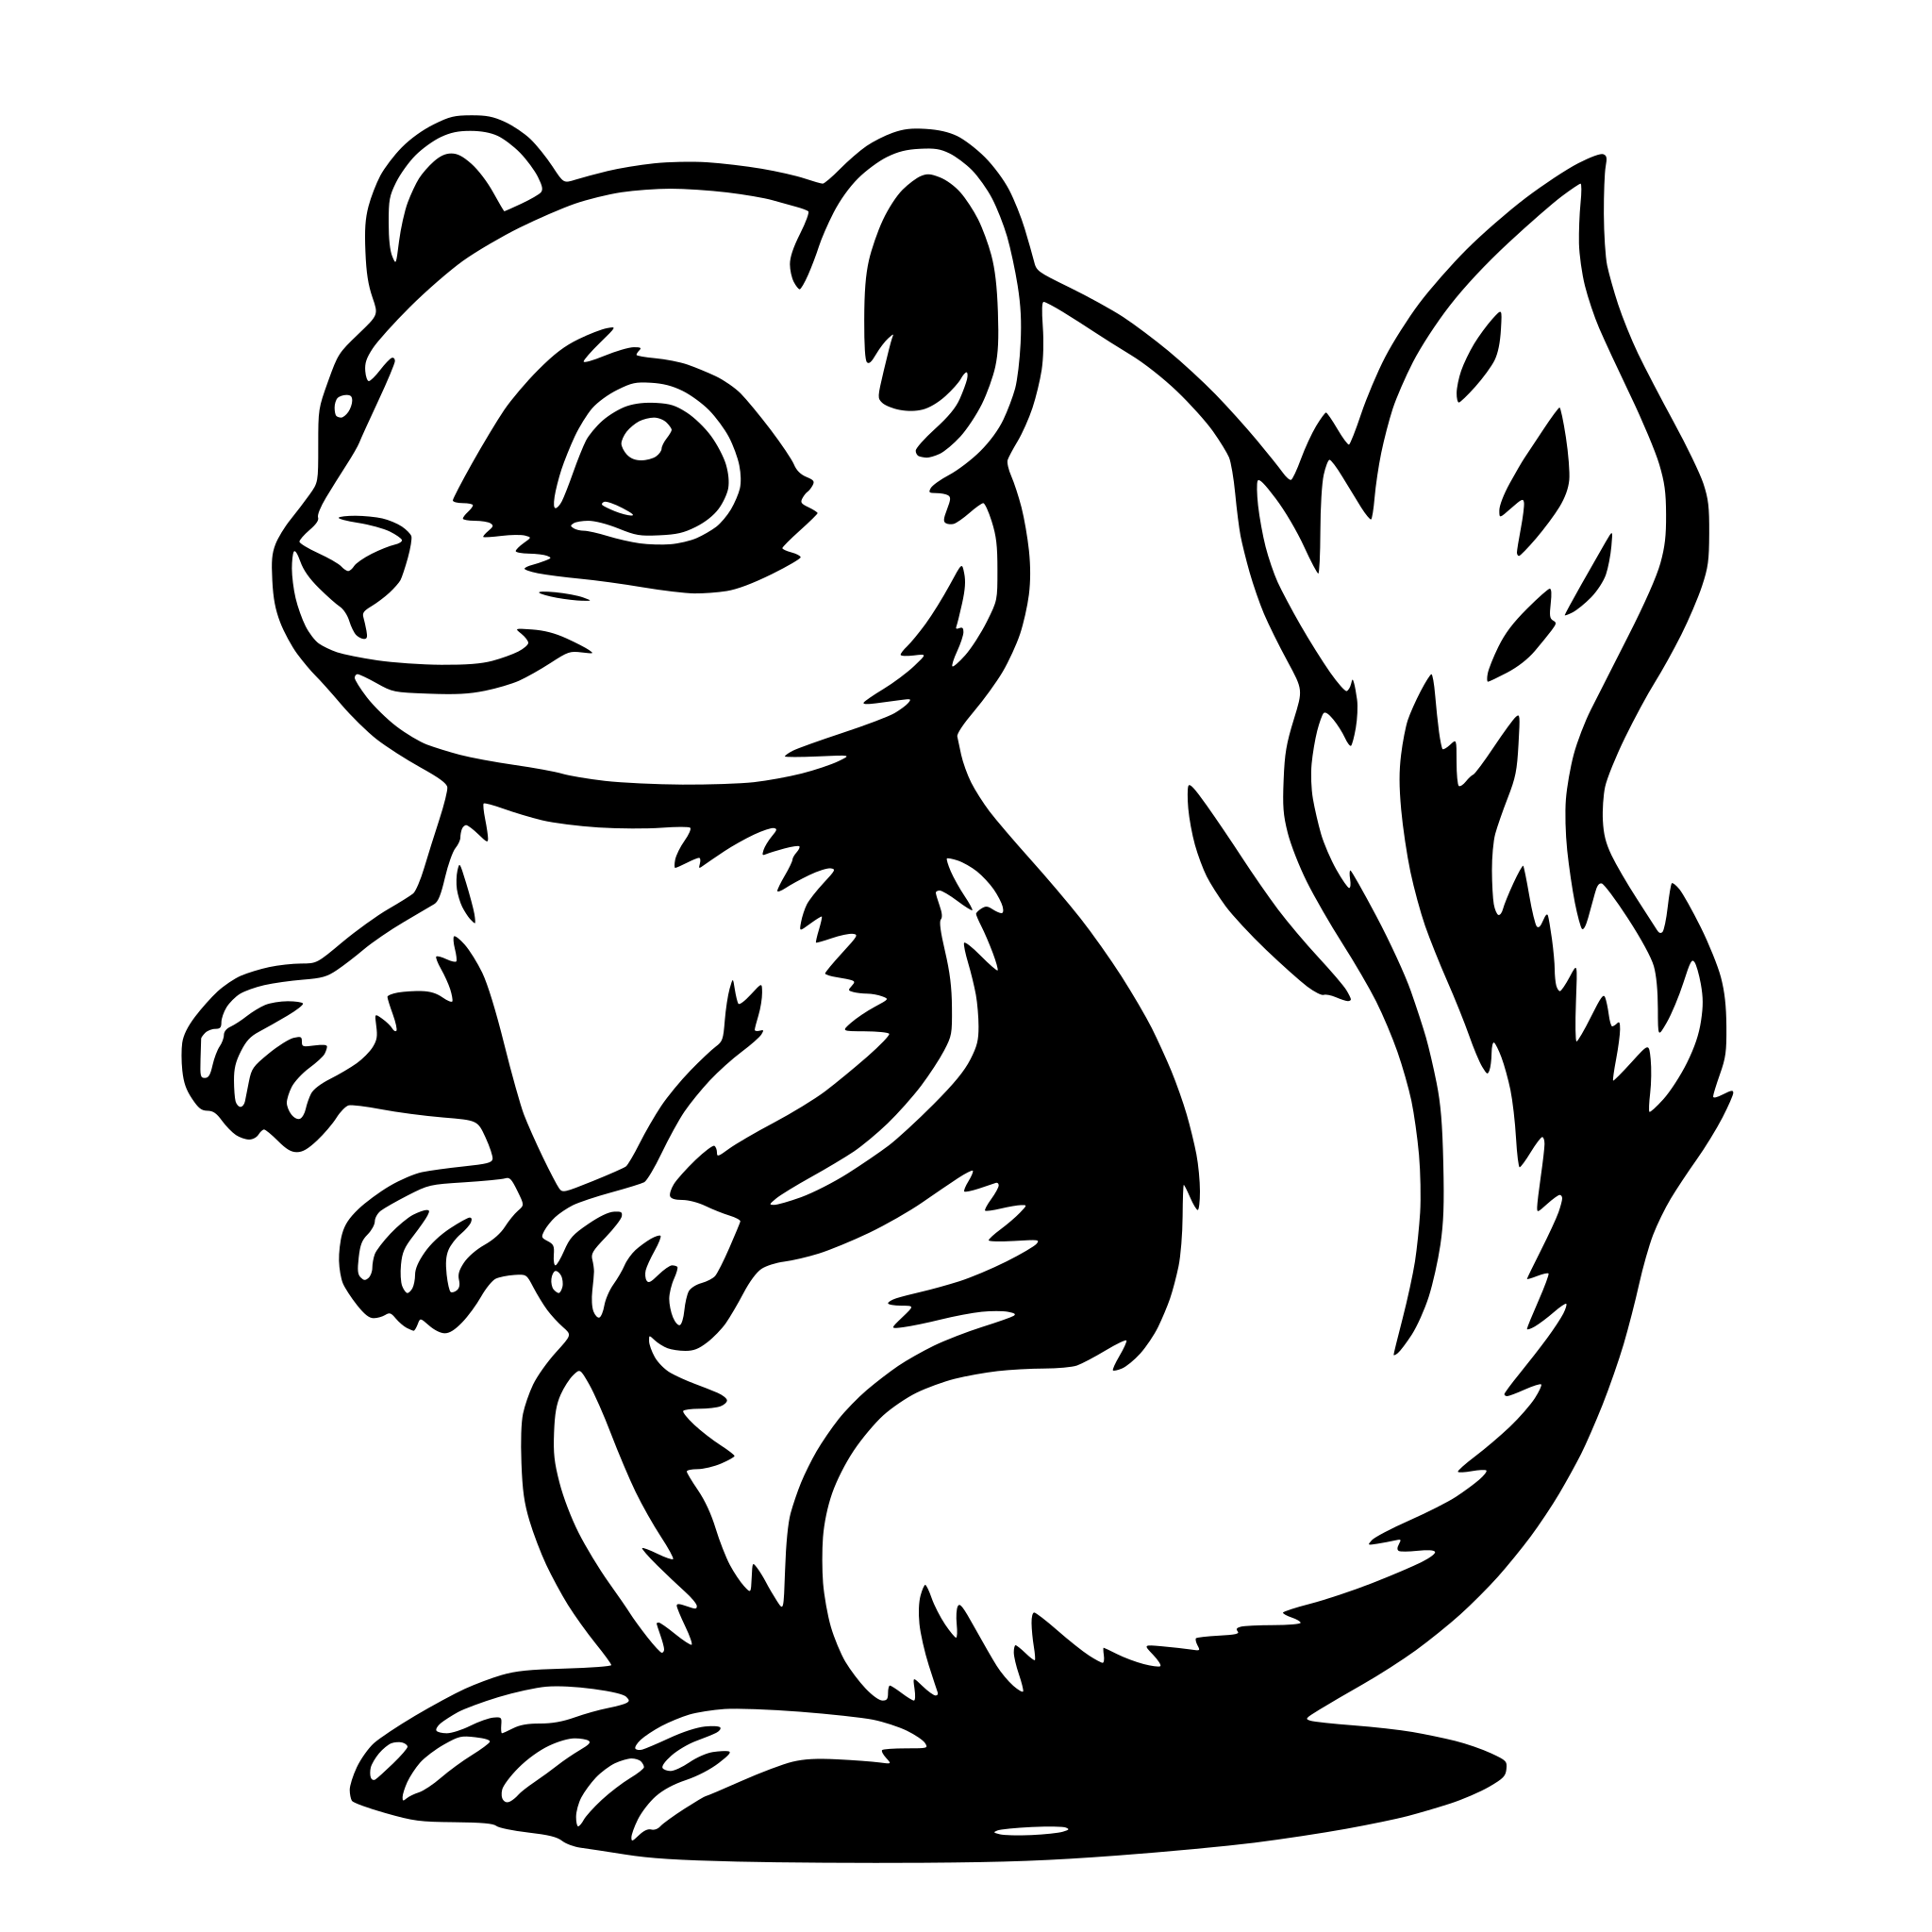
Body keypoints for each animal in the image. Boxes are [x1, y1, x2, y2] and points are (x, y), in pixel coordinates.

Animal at [183, 120, 1727, 1860]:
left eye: (651, 461)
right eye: (345, 403)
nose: (338, 557)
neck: (597, 840)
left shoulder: (880, 943)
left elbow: (839, 1083)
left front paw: (652, 1214)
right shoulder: (469, 940)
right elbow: (415, 1002)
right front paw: (348, 1094)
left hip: (908, 1506)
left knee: (971, 1747)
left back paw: (770, 1753)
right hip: (587, 1446)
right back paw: (575, 1720)